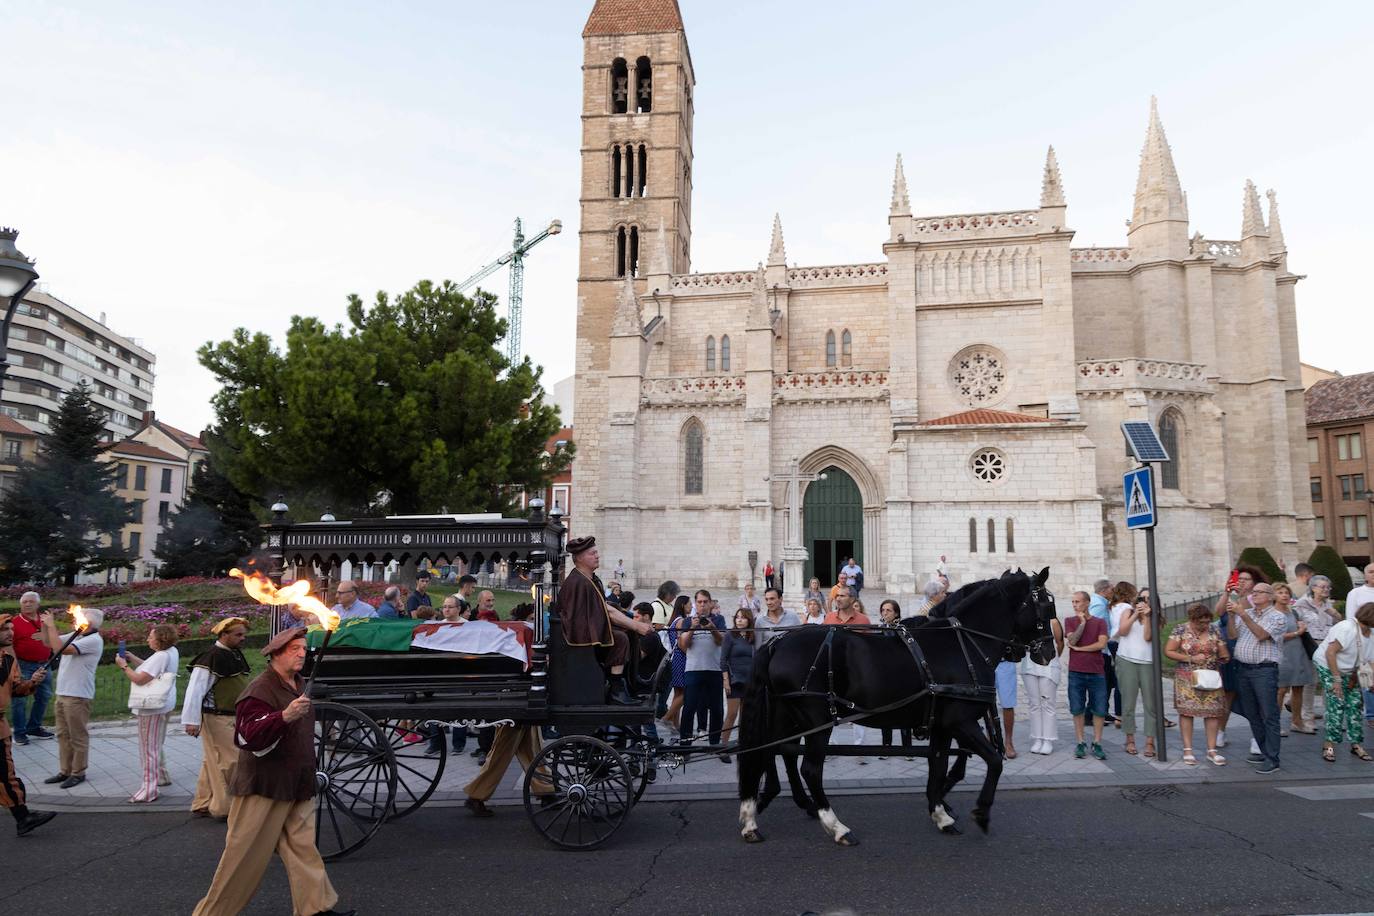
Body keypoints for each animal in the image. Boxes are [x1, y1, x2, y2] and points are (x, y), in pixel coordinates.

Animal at [736, 568, 1055, 851]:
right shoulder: (960, 722)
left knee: (771, 752)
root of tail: (777, 642)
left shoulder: (942, 725)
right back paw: (837, 827)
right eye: (1045, 606)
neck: (962, 642)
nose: (1049, 653)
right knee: (809, 768)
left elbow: (938, 766)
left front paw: (941, 814)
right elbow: (993, 761)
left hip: (786, 716)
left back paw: (754, 818)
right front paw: (981, 812)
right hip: (817, 720)